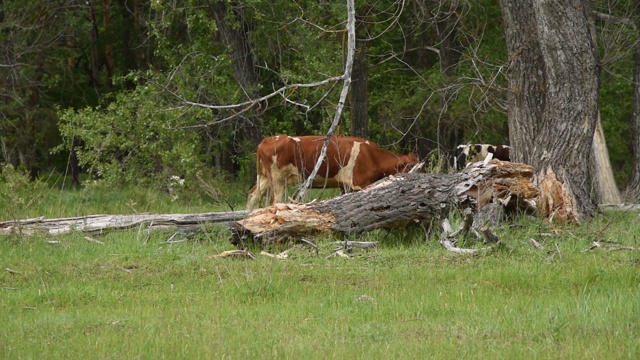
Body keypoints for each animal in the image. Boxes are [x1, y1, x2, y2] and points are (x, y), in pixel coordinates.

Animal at [246, 134, 420, 208]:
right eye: (412, 169)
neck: (373, 156)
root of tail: (266, 140)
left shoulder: (345, 186)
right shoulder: (360, 183)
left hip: (264, 178)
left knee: (252, 195)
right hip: (277, 179)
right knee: (274, 201)